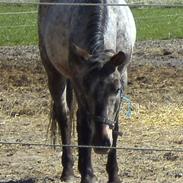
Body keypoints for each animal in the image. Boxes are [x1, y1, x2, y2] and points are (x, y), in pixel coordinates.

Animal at [38, 0, 136, 183]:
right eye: (86, 90)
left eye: (117, 89)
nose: (101, 143)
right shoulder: (77, 81)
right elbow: (85, 125)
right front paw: (88, 174)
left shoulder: (123, 75)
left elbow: (116, 126)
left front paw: (113, 174)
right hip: (54, 72)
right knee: (64, 116)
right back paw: (68, 170)